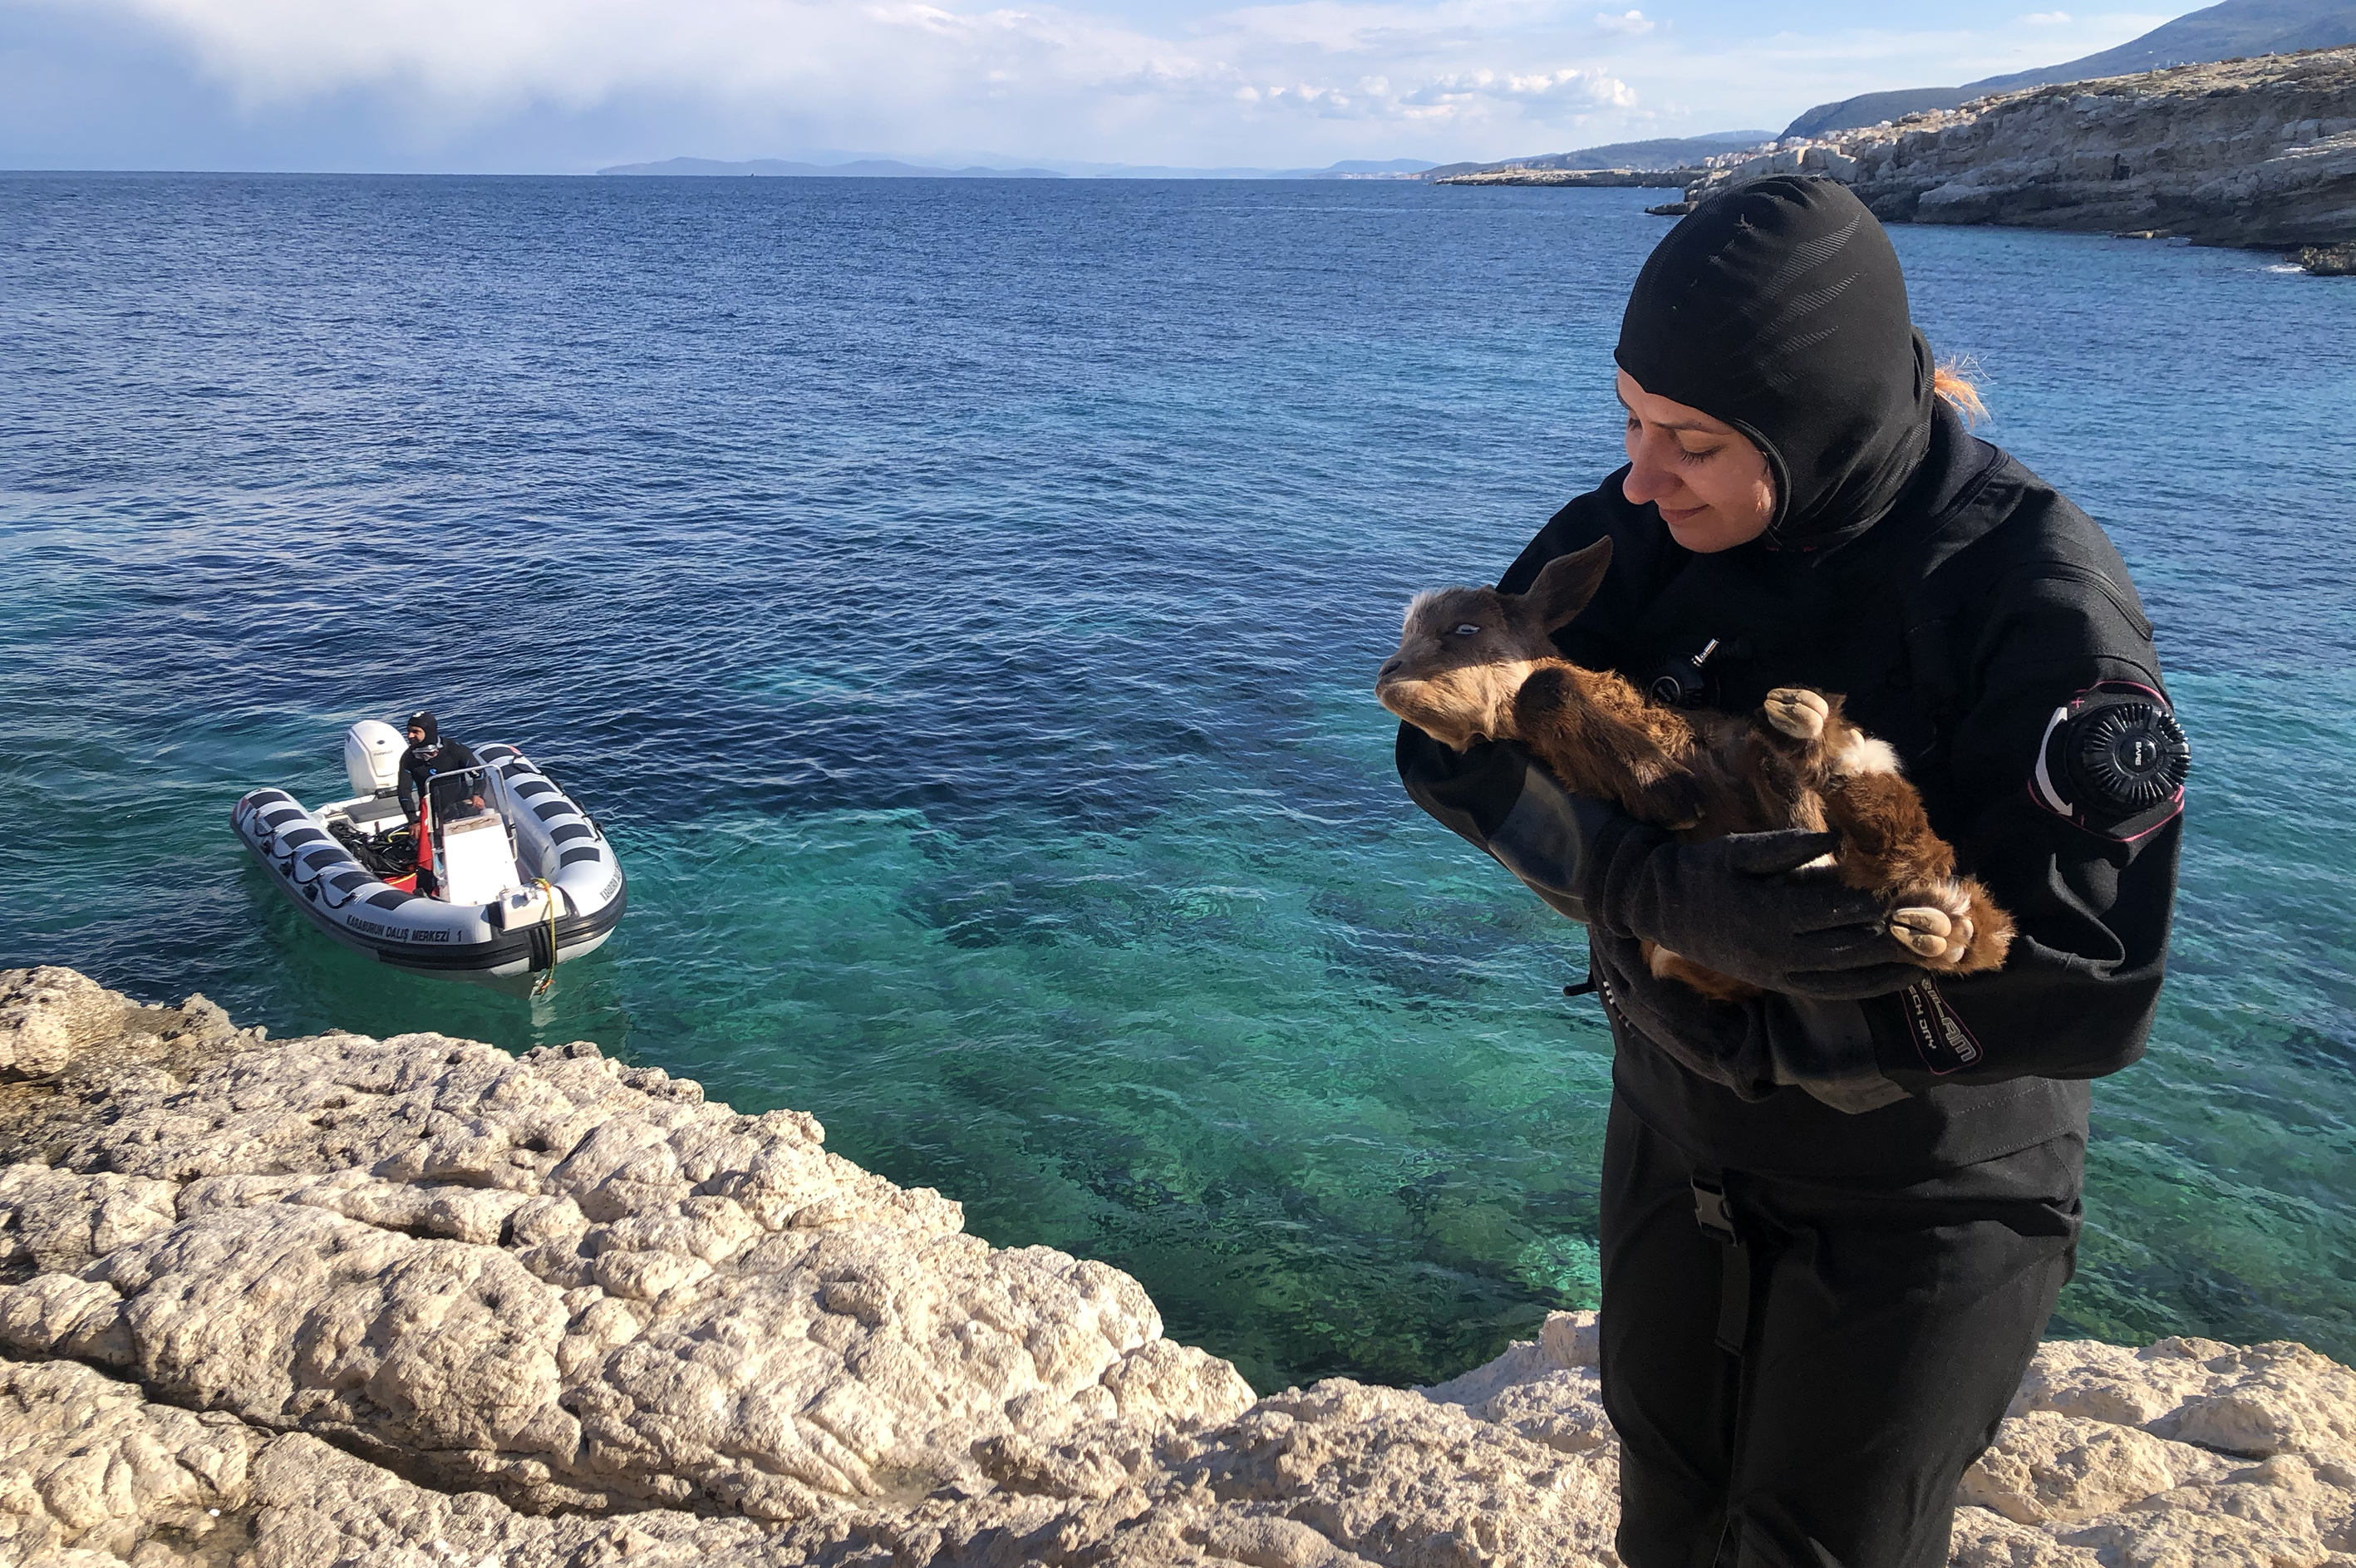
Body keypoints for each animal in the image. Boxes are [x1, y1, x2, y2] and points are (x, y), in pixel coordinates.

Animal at [1375, 537, 2013, 1002]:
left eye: (1465, 629)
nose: (1388, 673)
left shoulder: (1725, 743)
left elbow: (1547, 682)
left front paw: (1675, 786)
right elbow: (1545, 692)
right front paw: (1671, 795)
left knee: (1933, 863)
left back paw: (1817, 739)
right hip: (1683, 957)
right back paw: (1936, 926)